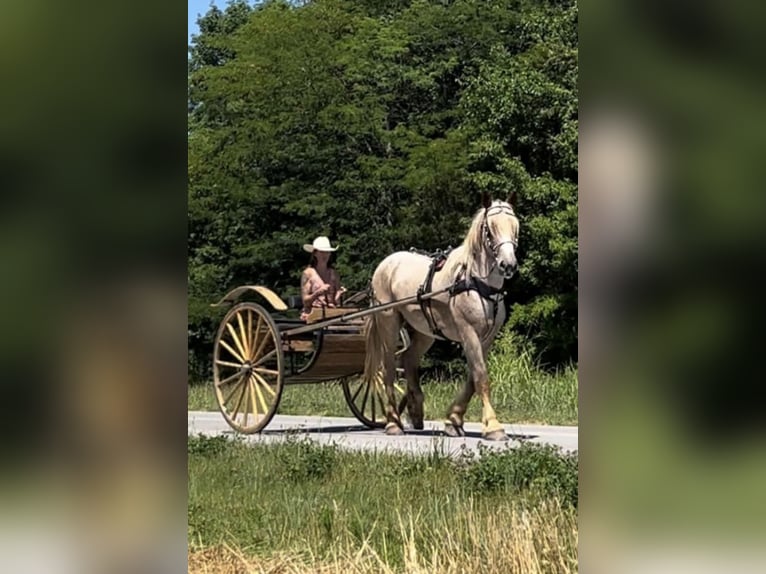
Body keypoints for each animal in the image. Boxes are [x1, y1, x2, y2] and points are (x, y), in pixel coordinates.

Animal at [364, 192, 520, 440]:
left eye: (515, 226)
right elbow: (481, 377)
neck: (476, 282)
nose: (508, 265)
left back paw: (415, 409)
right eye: (490, 229)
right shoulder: (468, 332)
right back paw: (393, 422)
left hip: (425, 331)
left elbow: (473, 378)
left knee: (408, 359)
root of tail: (385, 264)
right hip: (388, 321)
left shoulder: (486, 337)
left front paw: (453, 420)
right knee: (387, 368)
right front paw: (493, 426)